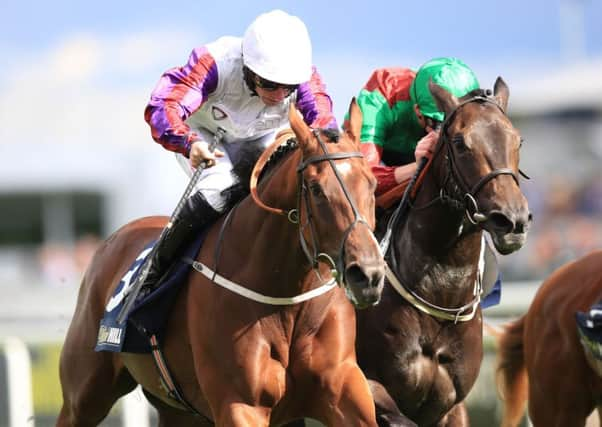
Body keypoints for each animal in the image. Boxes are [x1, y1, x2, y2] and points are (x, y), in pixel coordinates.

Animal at [57, 101, 384, 427]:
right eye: (316, 189)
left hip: (178, 411)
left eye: (372, 183)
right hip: (84, 395)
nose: (367, 275)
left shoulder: (342, 390)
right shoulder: (239, 405)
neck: (286, 296)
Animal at [352, 80, 528, 427]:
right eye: (460, 142)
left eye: (518, 140)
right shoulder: (364, 383)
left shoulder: (451, 406)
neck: (441, 293)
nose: (512, 220)